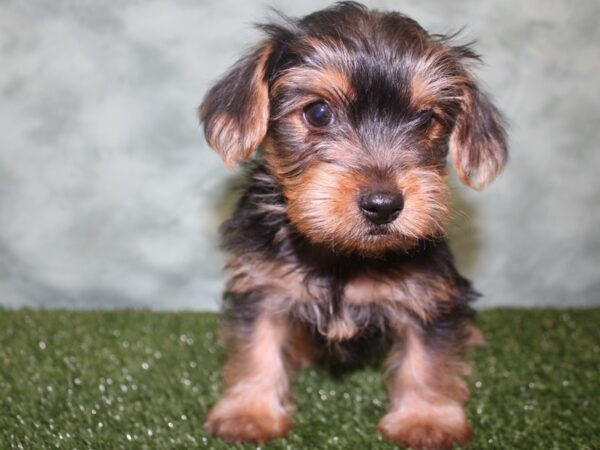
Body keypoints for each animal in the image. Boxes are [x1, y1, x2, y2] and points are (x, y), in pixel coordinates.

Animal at [198, 1, 506, 448]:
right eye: (318, 112)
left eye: (426, 119)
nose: (383, 205)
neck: (342, 250)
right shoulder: (262, 286)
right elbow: (257, 346)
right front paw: (249, 412)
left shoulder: (428, 294)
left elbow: (427, 359)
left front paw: (426, 420)